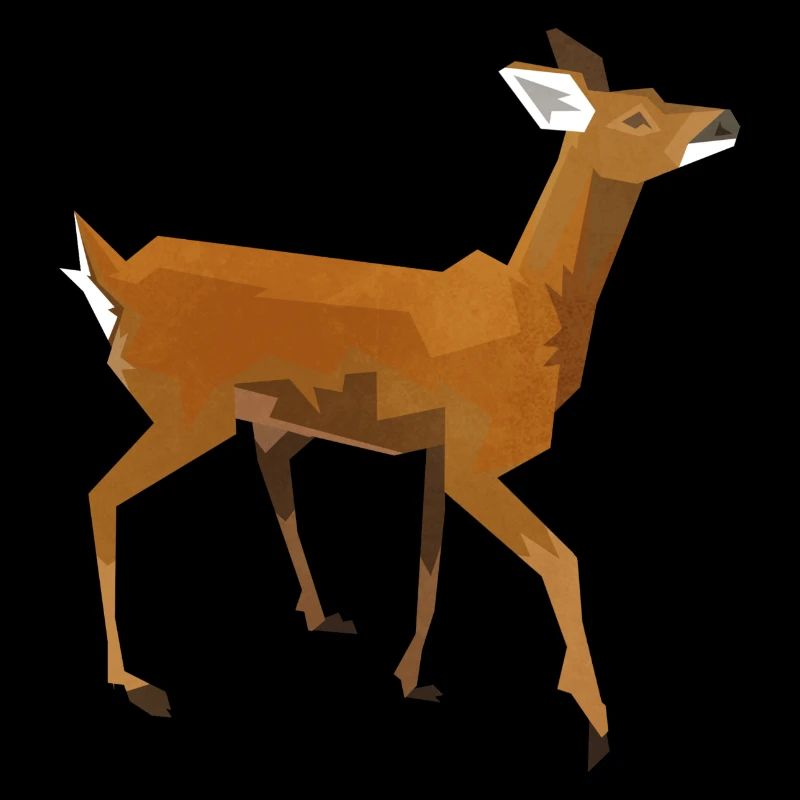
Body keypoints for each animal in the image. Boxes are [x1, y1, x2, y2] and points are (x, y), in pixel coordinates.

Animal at [62, 29, 737, 769]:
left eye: (664, 94)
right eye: (637, 116)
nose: (724, 121)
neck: (535, 314)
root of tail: (116, 285)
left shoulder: (442, 450)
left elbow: (431, 564)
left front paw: (411, 676)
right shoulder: (476, 457)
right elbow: (564, 561)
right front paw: (595, 726)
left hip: (272, 414)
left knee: (267, 471)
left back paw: (320, 613)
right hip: (189, 411)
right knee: (102, 495)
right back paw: (134, 683)